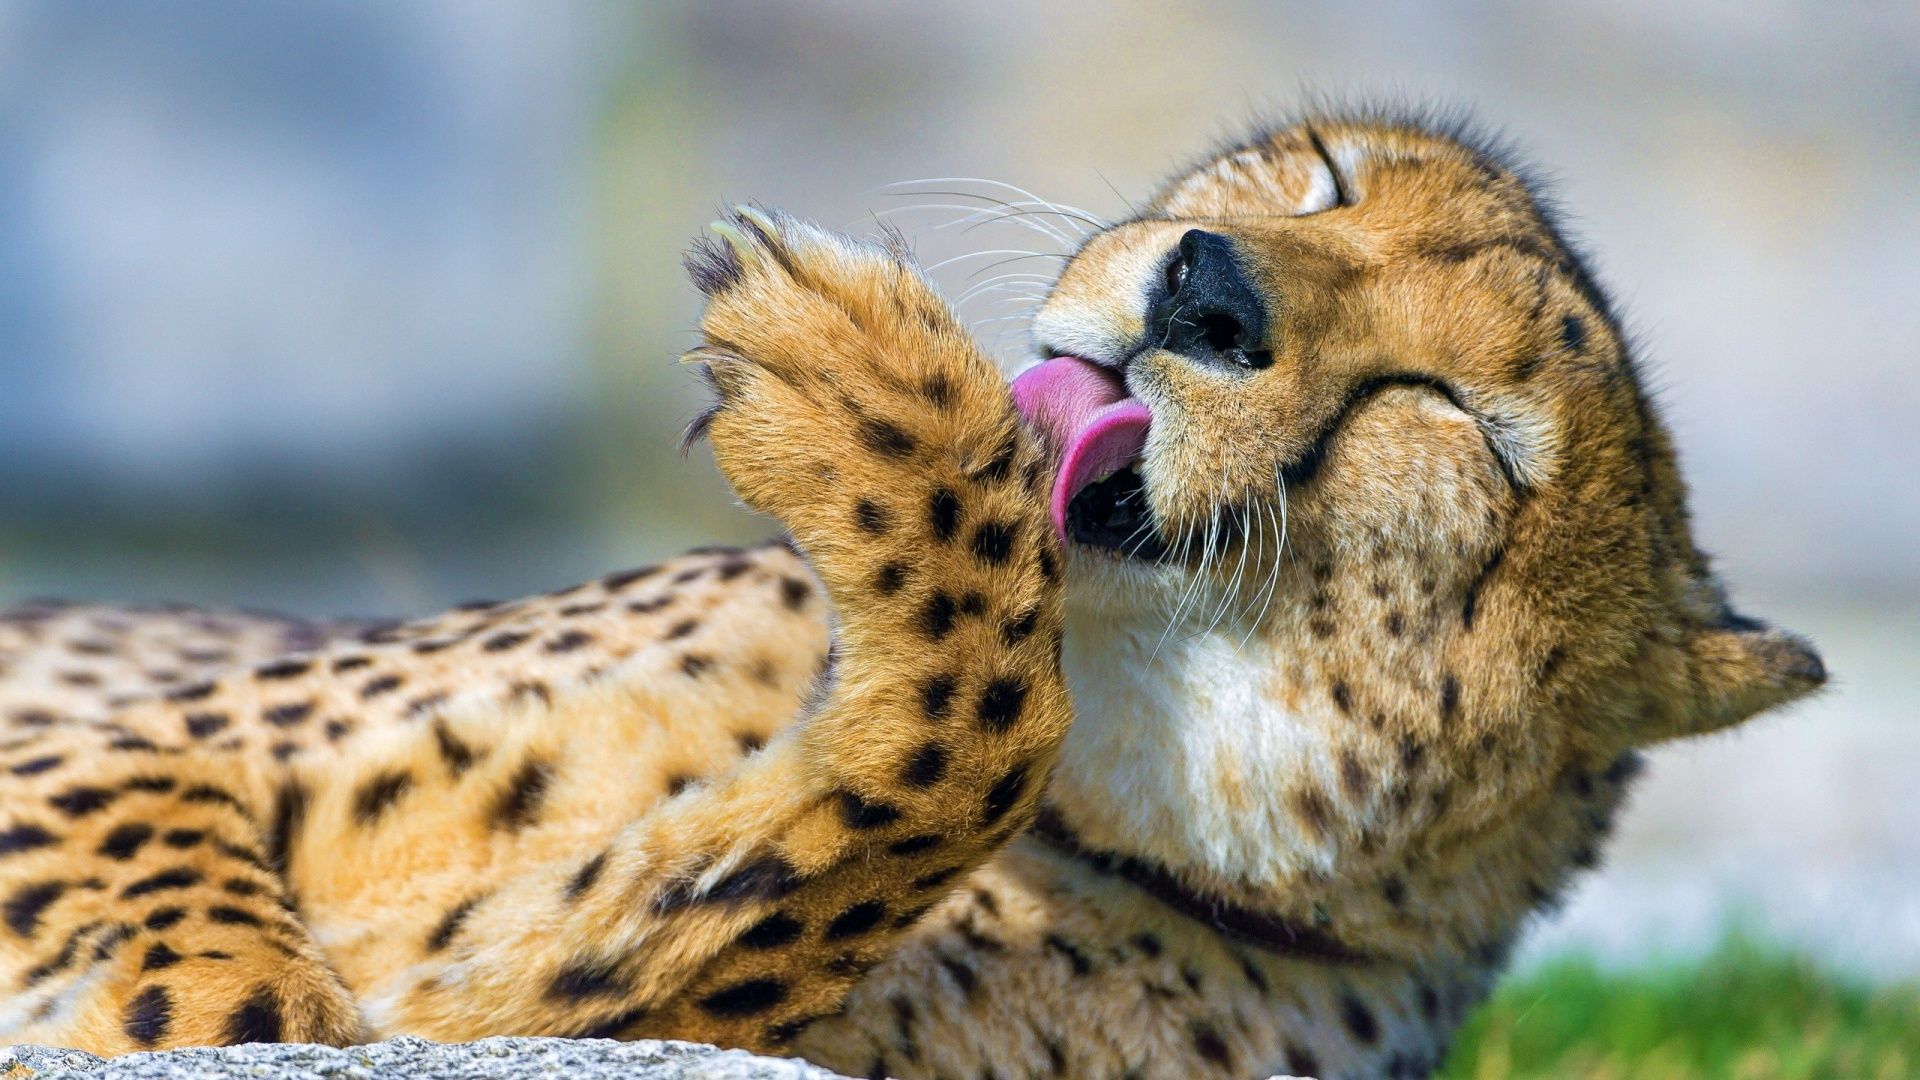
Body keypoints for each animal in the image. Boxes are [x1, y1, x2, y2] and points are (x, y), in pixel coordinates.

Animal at [0, 110, 1824, 1080]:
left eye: (1450, 416)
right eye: (1324, 177)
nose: (1207, 291)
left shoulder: (525, 1006)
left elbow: (916, 771)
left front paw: (865, 400)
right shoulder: (117, 754)